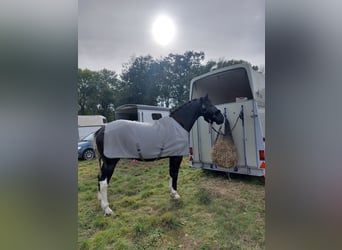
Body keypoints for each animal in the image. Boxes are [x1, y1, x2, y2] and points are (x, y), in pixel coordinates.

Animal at [93, 94, 224, 216]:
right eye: (209, 105)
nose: (221, 118)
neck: (177, 126)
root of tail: (101, 130)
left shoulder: (172, 157)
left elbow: (171, 173)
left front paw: (172, 193)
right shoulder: (177, 157)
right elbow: (174, 174)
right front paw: (175, 195)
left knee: (99, 178)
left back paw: (100, 201)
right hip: (110, 162)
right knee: (103, 182)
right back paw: (107, 209)